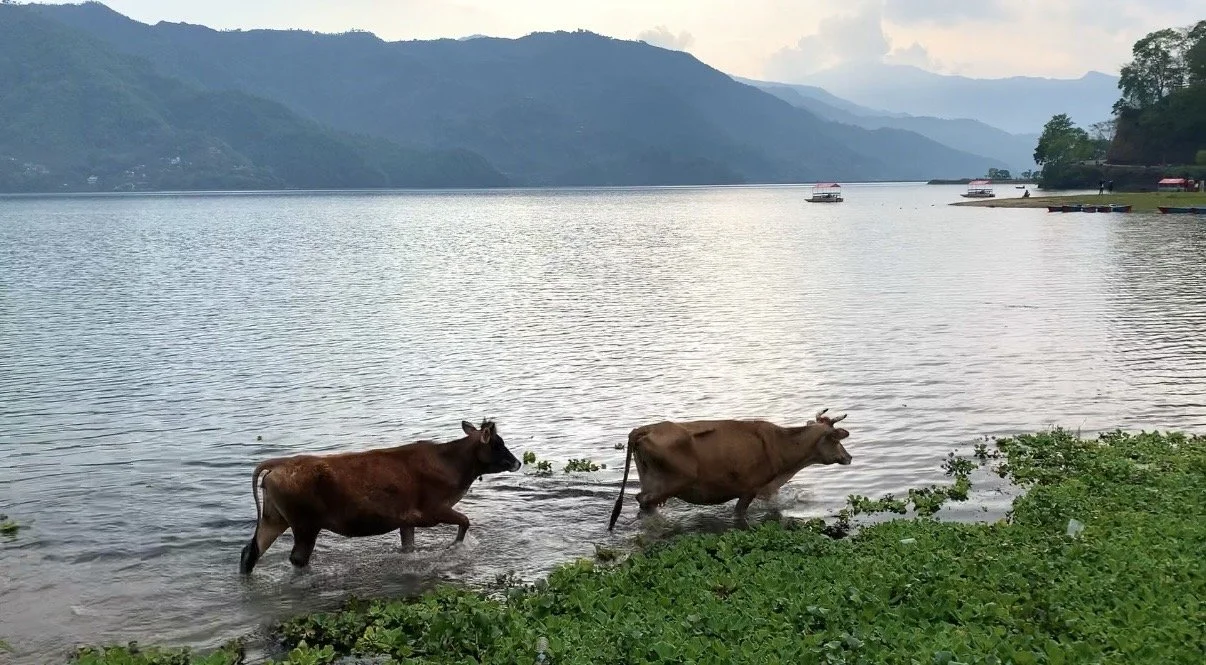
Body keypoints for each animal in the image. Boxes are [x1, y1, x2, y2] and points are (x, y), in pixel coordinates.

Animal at [239, 419, 521, 574]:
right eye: (498, 444)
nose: (517, 462)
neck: (452, 464)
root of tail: (280, 464)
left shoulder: (407, 520)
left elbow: (409, 547)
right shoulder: (433, 510)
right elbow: (465, 521)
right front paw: (455, 547)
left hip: (274, 518)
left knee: (251, 551)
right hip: (305, 524)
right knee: (297, 558)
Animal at [608, 410, 853, 531]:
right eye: (835, 439)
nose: (849, 457)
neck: (781, 444)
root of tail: (642, 429)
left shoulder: (768, 489)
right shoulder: (750, 488)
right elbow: (739, 513)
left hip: (649, 478)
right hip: (670, 483)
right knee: (644, 501)